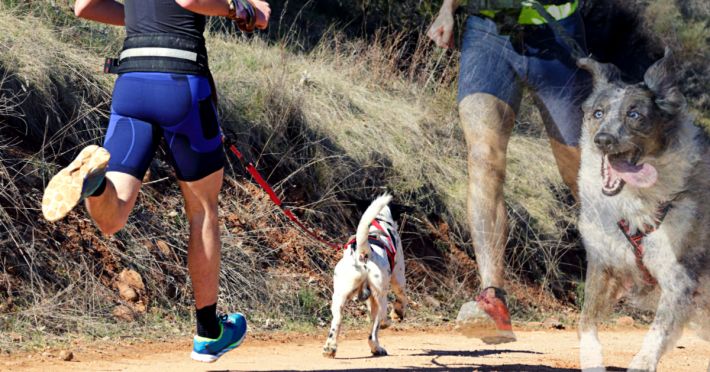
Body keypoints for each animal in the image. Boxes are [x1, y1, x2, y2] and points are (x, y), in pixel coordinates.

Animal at [322, 195, 406, 358]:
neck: (379, 221)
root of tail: (364, 252)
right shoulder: (398, 277)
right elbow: (402, 298)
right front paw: (397, 314)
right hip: (381, 299)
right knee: (373, 333)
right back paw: (377, 347)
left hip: (338, 298)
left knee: (336, 324)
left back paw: (330, 348)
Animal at [580, 50, 710, 372]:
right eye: (598, 113)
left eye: (634, 114)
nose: (603, 140)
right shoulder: (604, 264)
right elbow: (586, 321)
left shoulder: (679, 279)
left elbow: (657, 332)